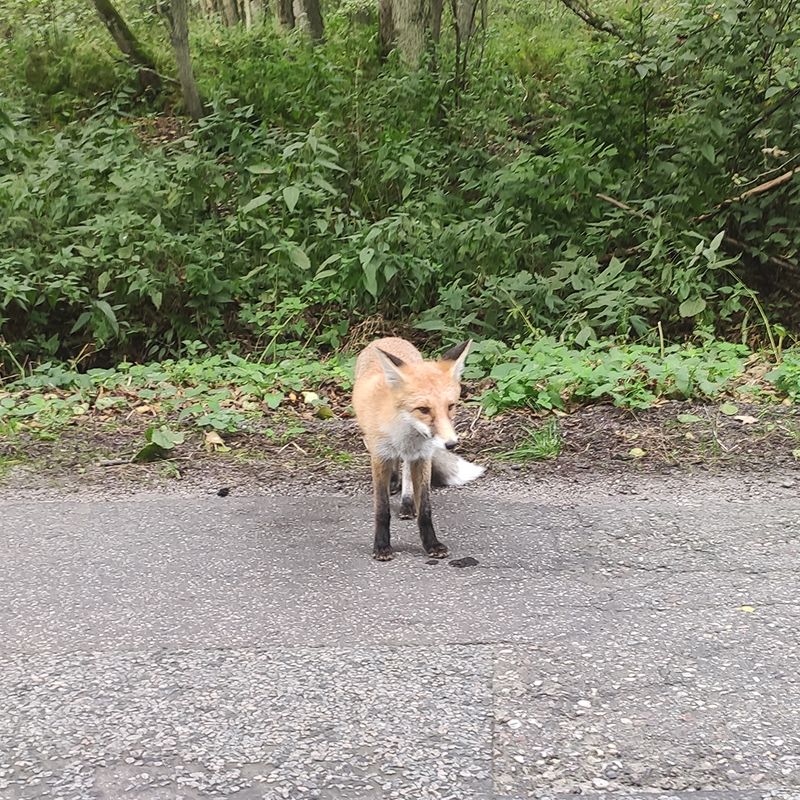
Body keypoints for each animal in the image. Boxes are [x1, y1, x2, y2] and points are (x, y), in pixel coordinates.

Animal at [354, 334, 484, 560]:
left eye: (451, 406)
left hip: (413, 457)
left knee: (405, 470)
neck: (403, 433)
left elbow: (425, 510)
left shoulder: (423, 456)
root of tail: (389, 337)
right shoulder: (379, 455)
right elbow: (382, 509)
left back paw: (406, 502)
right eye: (423, 409)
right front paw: (381, 545)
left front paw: (431, 544)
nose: (451, 444)